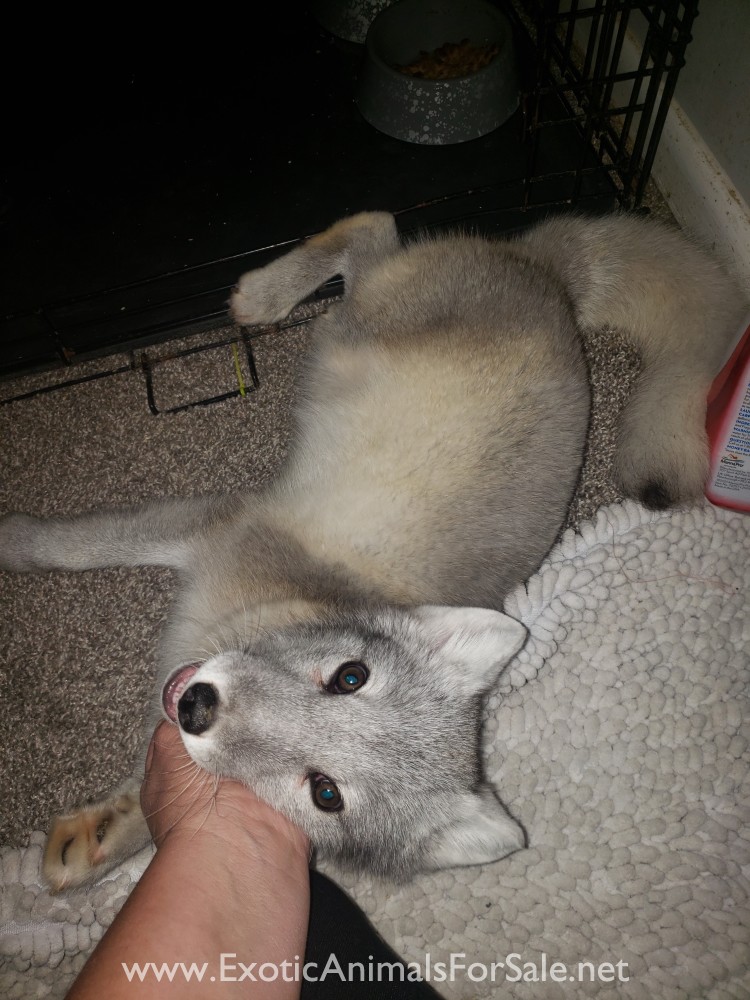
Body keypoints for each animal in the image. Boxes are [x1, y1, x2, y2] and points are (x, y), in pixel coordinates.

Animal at [0, 210, 745, 891]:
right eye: (350, 676)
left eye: (324, 793)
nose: (199, 707)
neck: (287, 608)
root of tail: (550, 274)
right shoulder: (214, 523)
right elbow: (67, 546)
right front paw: (11, 538)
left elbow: (145, 806)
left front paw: (95, 842)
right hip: (352, 324)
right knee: (370, 227)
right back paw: (264, 295)